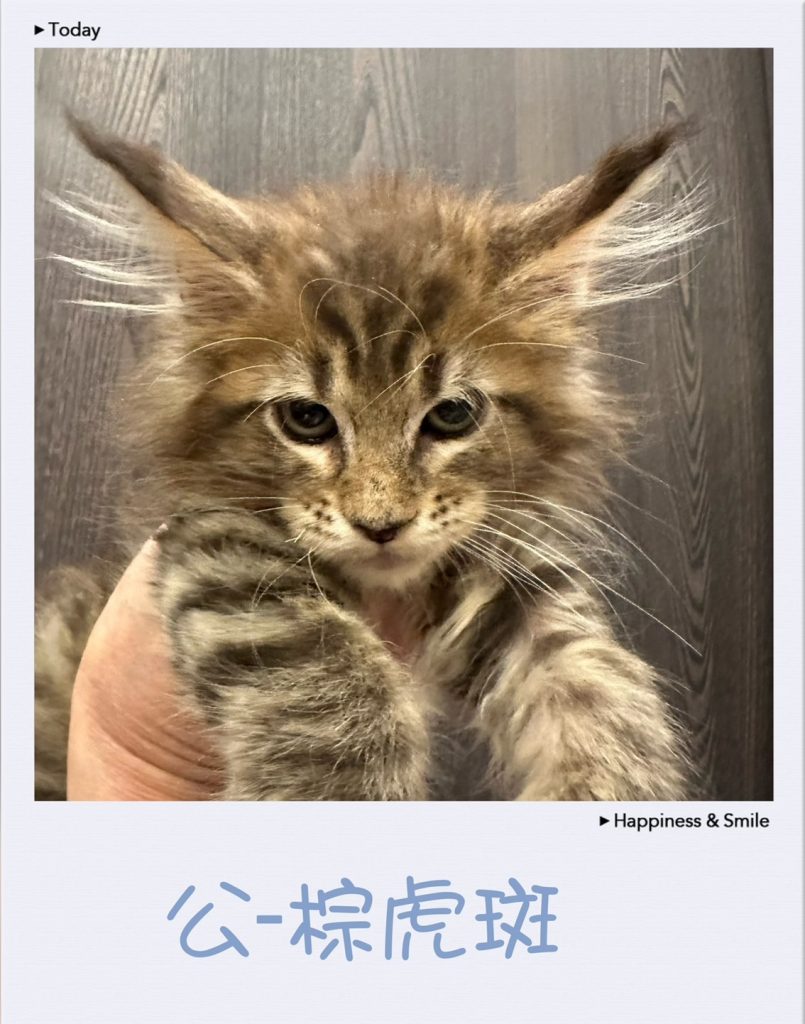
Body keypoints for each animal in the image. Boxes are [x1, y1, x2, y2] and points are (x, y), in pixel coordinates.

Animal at [35, 115, 705, 800]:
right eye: (307, 419)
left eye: (452, 414)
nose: (381, 526)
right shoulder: (219, 542)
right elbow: (329, 681)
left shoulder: (513, 562)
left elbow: (597, 679)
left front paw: (614, 787)